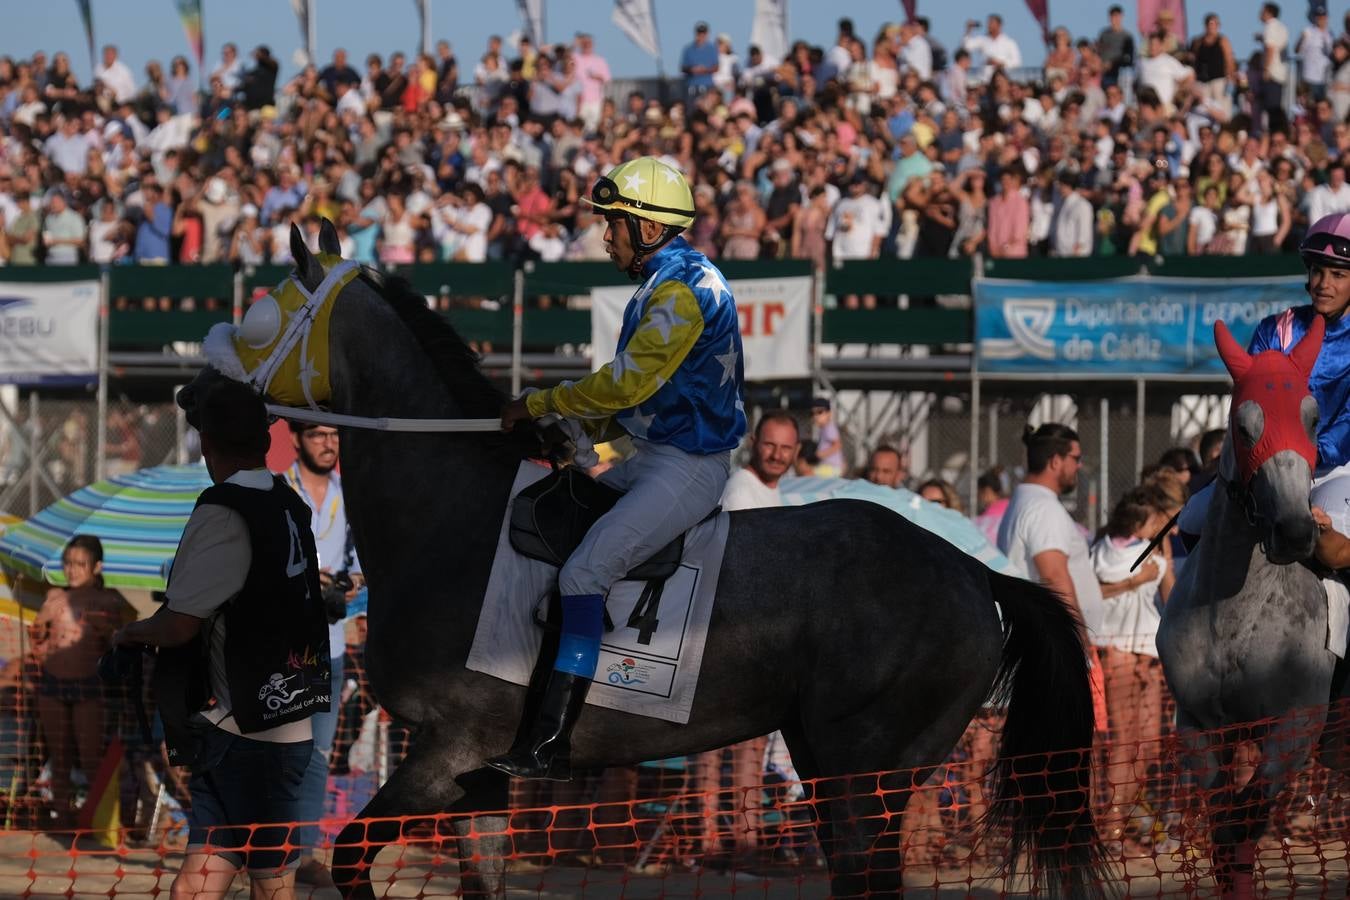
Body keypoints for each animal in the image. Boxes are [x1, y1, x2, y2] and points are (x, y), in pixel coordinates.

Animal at [179, 223, 1107, 895]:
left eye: (260, 314)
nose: (193, 389)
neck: (458, 522)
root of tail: (975, 572)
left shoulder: (449, 750)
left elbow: (347, 855)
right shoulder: (476, 778)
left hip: (864, 770)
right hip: (831, 759)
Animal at [1155, 315, 1333, 895]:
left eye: (1312, 417)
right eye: (1242, 423)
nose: (1296, 530)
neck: (1234, 619)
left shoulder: (1296, 727)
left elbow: (1245, 821)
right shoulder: (1200, 726)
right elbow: (1225, 834)